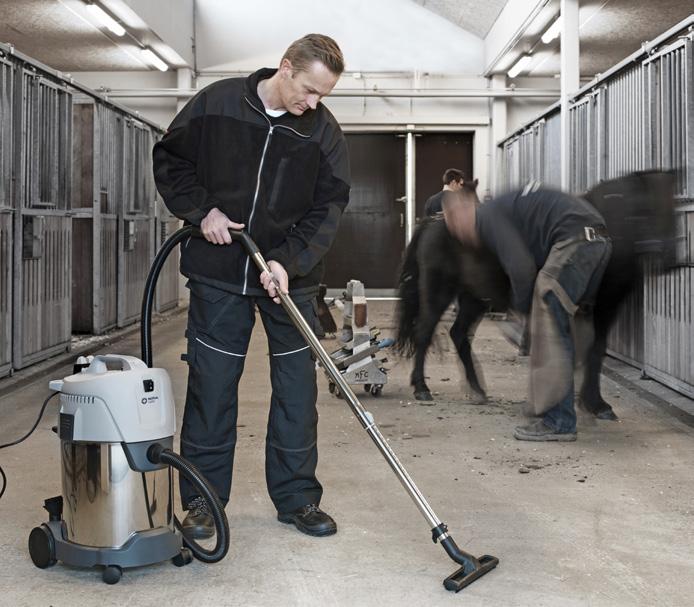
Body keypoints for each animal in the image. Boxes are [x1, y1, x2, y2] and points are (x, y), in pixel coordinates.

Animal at [400, 171, 676, 418]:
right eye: (643, 208)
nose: (667, 260)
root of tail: (434, 221)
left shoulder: (599, 309)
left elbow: (592, 349)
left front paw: (592, 402)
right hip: (439, 290)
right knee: (424, 331)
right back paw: (422, 388)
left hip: (474, 297)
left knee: (458, 334)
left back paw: (477, 389)